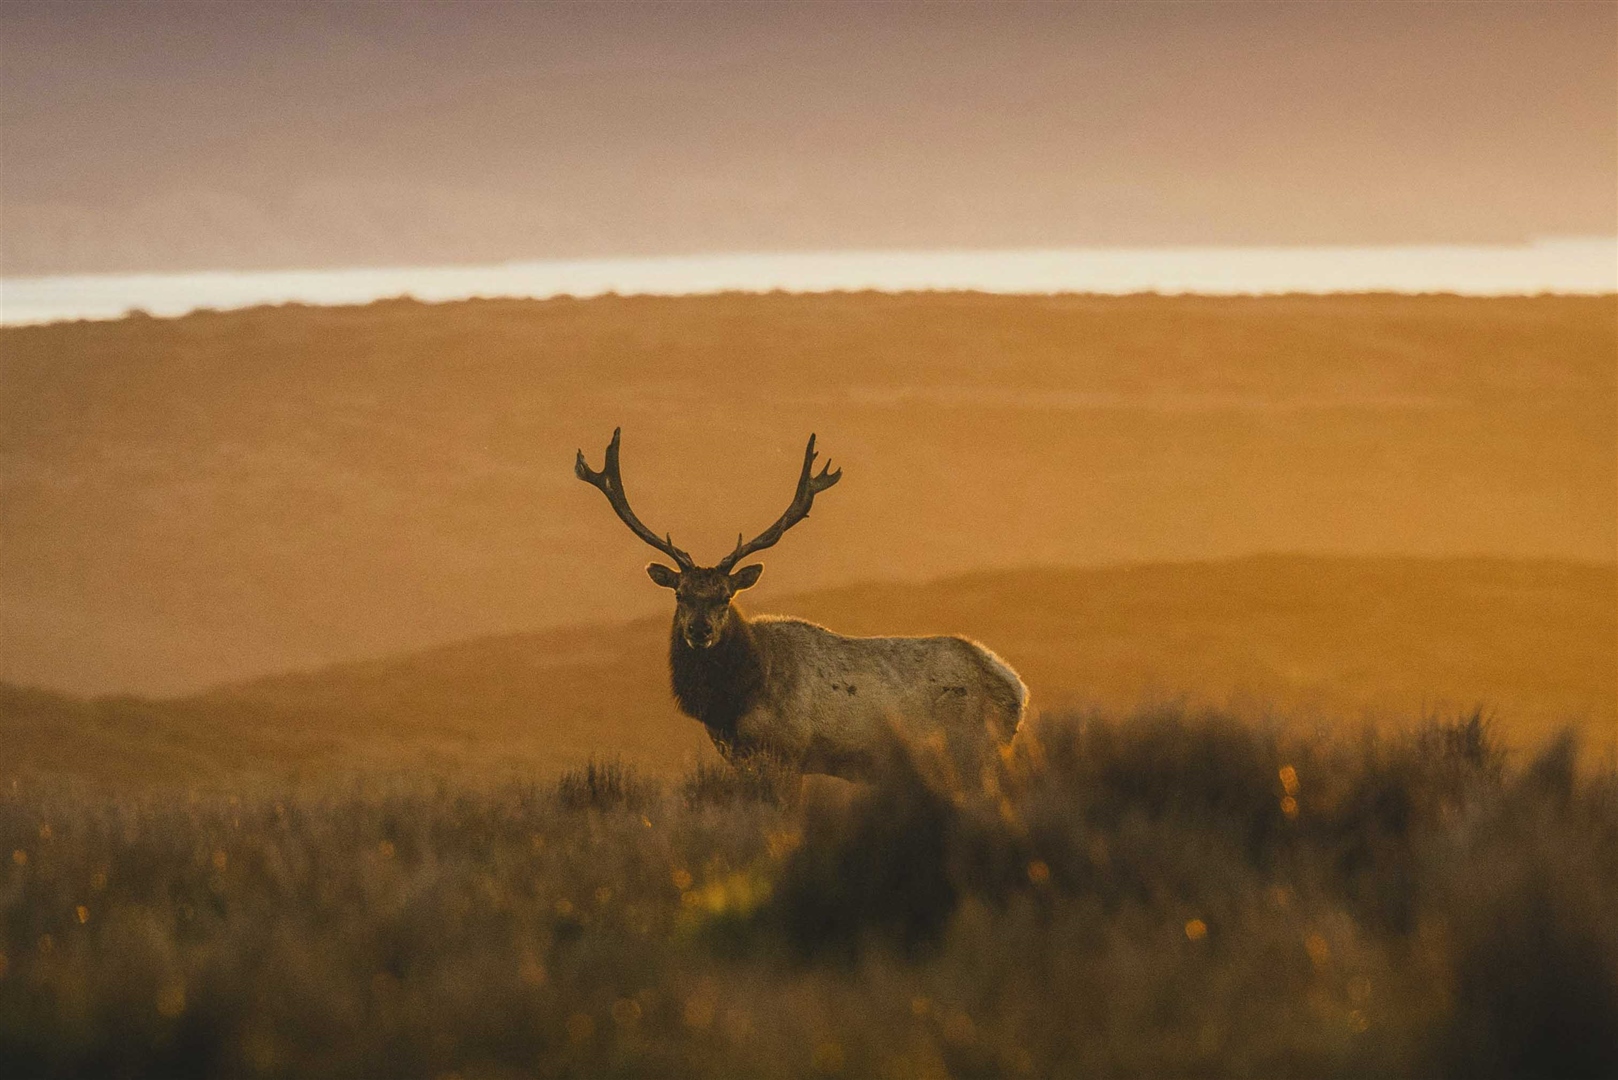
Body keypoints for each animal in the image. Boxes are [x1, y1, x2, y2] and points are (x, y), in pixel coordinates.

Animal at [575, 429, 1027, 786]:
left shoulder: (786, 751)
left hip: (975, 751)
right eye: (680, 593)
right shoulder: (739, 756)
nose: (699, 631)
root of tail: (1017, 688)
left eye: (726, 596)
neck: (735, 700)